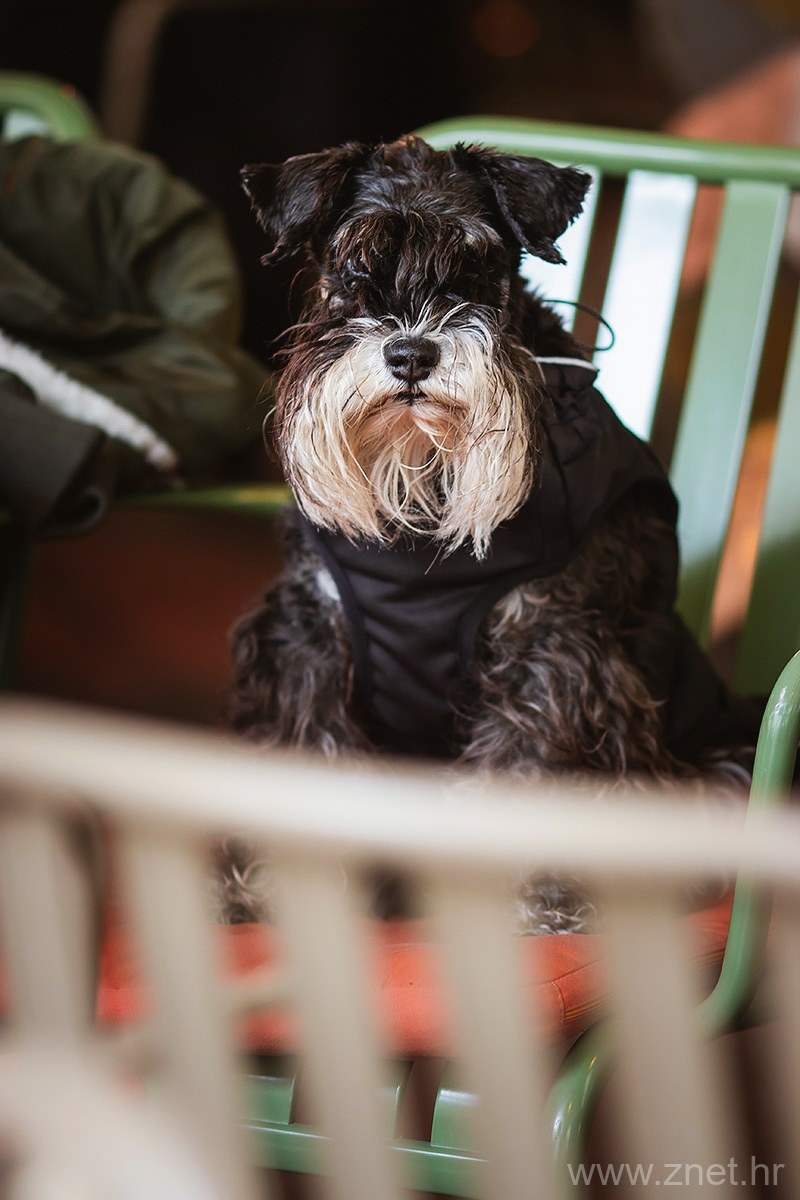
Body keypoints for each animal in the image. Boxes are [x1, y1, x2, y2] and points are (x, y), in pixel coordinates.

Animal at [221, 134, 757, 933]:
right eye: (353, 269)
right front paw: (278, 886)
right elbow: (305, 746)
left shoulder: (551, 647)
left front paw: (535, 893)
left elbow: (531, 763)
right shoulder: (308, 634)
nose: (411, 355)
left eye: (476, 267)